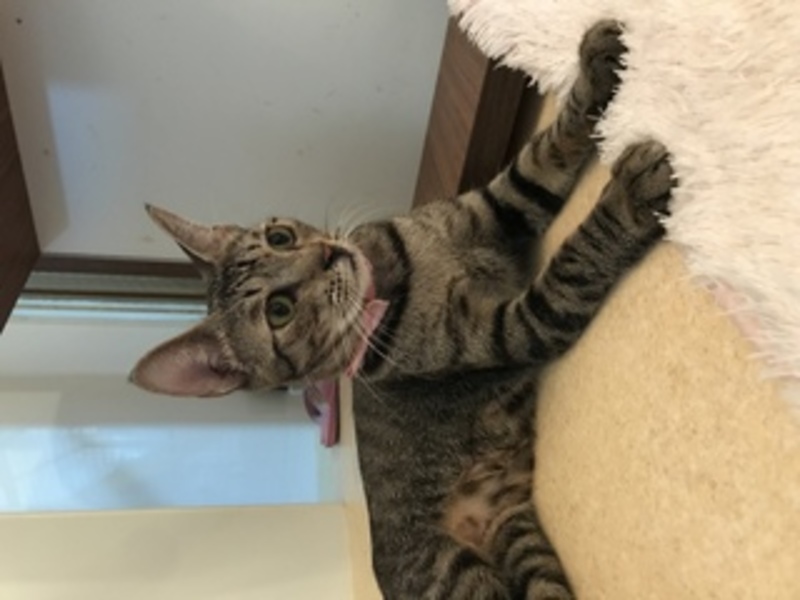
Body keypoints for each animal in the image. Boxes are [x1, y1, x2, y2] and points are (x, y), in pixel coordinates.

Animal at [131, 20, 673, 600]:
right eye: (278, 310)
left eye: (280, 237)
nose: (329, 255)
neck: (391, 277)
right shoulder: (518, 327)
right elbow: (577, 260)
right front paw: (630, 197)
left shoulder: (501, 203)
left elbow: (547, 150)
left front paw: (594, 67)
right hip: (465, 577)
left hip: (525, 539)